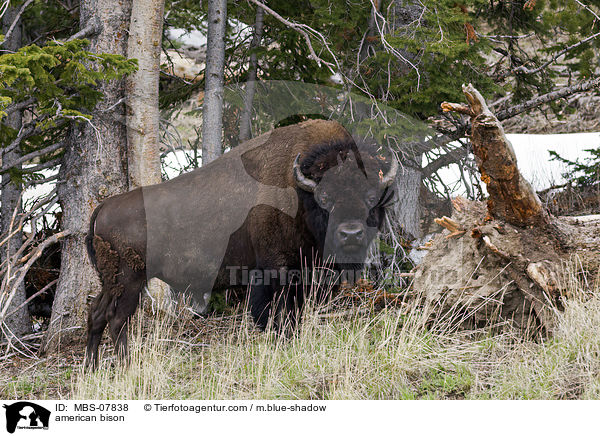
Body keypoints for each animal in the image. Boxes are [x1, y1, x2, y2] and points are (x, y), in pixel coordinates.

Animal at [83, 119, 394, 368]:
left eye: (371, 197)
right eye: (325, 198)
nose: (351, 233)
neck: (299, 192)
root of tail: (103, 208)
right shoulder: (277, 270)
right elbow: (278, 315)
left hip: (112, 282)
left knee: (97, 313)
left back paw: (92, 368)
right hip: (129, 280)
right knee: (116, 319)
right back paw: (125, 367)